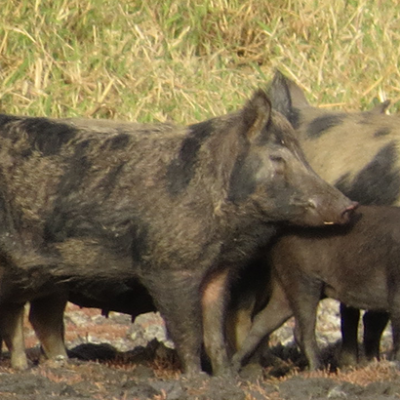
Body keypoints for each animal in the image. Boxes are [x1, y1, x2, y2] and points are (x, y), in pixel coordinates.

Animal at [0, 90, 354, 376]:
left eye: (304, 156)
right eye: (277, 158)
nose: (348, 206)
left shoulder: (219, 271)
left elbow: (215, 332)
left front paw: (225, 378)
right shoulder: (169, 268)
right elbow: (188, 331)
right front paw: (195, 379)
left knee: (41, 318)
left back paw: (59, 364)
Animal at [233, 208, 400, 370]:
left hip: (284, 285)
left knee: (263, 320)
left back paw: (234, 367)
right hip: (303, 279)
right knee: (302, 329)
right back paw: (317, 370)